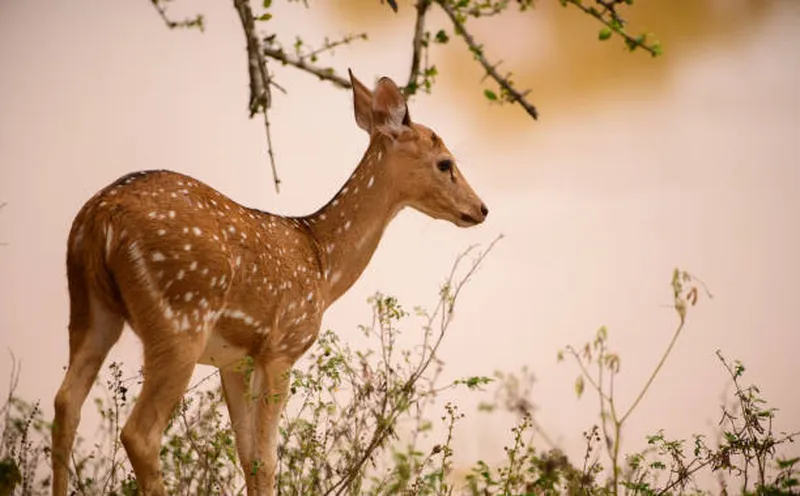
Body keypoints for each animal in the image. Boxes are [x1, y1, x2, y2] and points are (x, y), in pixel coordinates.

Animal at [51, 70, 488, 496]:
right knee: (139, 434)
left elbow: (249, 458)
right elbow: (267, 460)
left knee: (64, 406)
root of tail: (104, 212)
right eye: (445, 163)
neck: (322, 263)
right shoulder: (282, 347)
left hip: (89, 306)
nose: (481, 208)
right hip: (181, 315)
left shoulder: (235, 360)